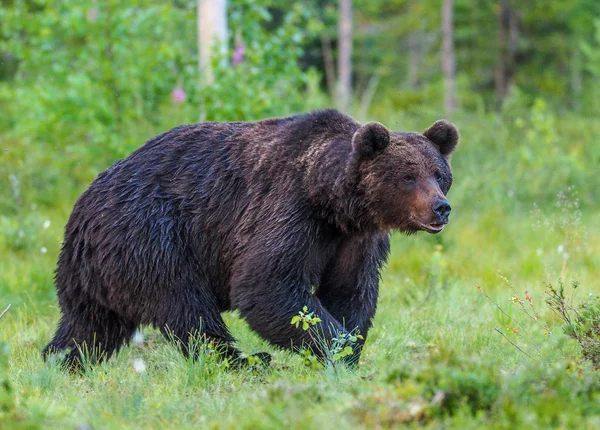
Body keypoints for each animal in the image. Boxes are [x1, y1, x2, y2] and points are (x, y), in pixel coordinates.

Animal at [42, 109, 460, 368]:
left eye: (439, 174)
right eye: (408, 176)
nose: (441, 208)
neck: (334, 202)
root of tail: (80, 212)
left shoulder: (355, 240)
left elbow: (351, 292)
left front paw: (347, 350)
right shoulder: (288, 211)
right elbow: (267, 285)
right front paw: (335, 350)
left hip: (98, 272)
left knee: (88, 328)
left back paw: (59, 363)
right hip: (149, 234)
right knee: (186, 308)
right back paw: (245, 361)